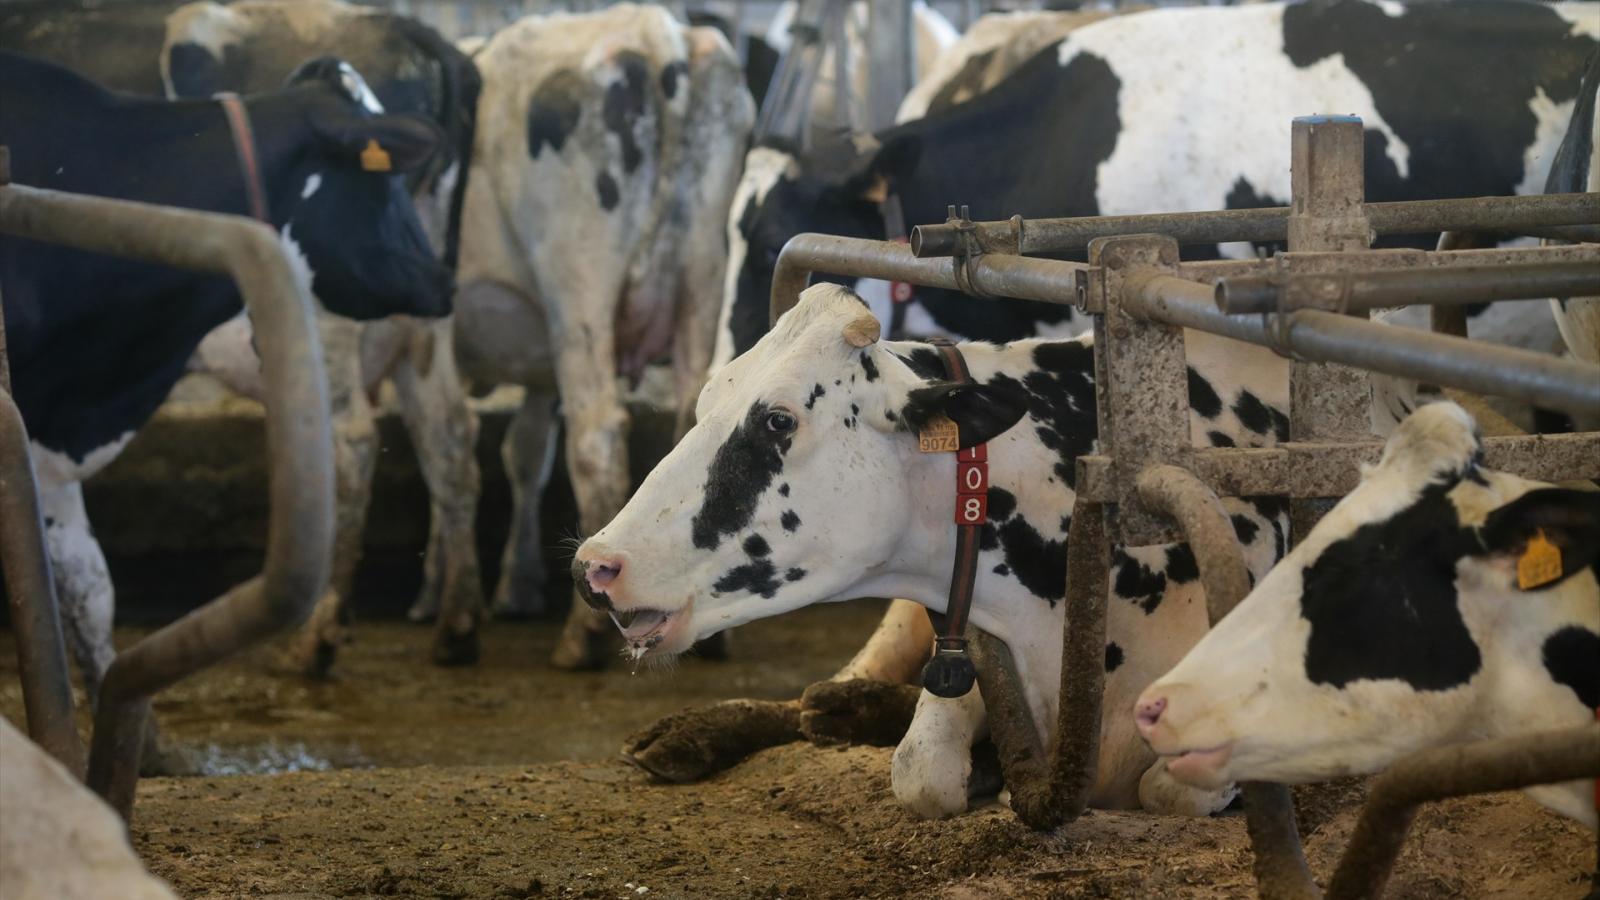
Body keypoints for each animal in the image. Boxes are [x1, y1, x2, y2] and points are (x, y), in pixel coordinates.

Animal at [159, 0, 486, 671]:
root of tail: (411, 30)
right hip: (422, 319)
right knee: (449, 437)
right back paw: (457, 627)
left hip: (332, 311)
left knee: (352, 440)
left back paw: (318, 636)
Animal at [453, 4, 754, 669]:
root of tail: (653, 30)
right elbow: (523, 452)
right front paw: (513, 587)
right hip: (701, 273)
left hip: (578, 291)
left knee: (597, 438)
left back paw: (580, 636)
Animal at [573, 283, 1304, 818]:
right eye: (705, 403)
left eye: (779, 419)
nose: (595, 565)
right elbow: (920, 770)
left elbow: (1172, 787)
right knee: (818, 694)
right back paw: (705, 730)